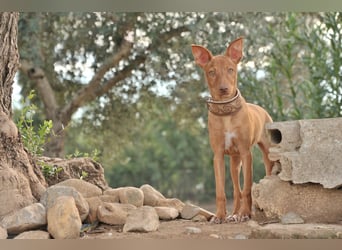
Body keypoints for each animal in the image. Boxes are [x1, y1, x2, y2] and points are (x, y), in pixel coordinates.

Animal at [191, 37, 274, 223]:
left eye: (230, 69)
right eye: (212, 72)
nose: (223, 89)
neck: (226, 113)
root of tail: (262, 110)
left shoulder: (246, 152)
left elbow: (247, 187)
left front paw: (245, 214)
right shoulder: (218, 156)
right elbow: (221, 190)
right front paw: (220, 215)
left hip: (266, 153)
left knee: (262, 175)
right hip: (234, 163)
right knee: (236, 190)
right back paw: (234, 213)